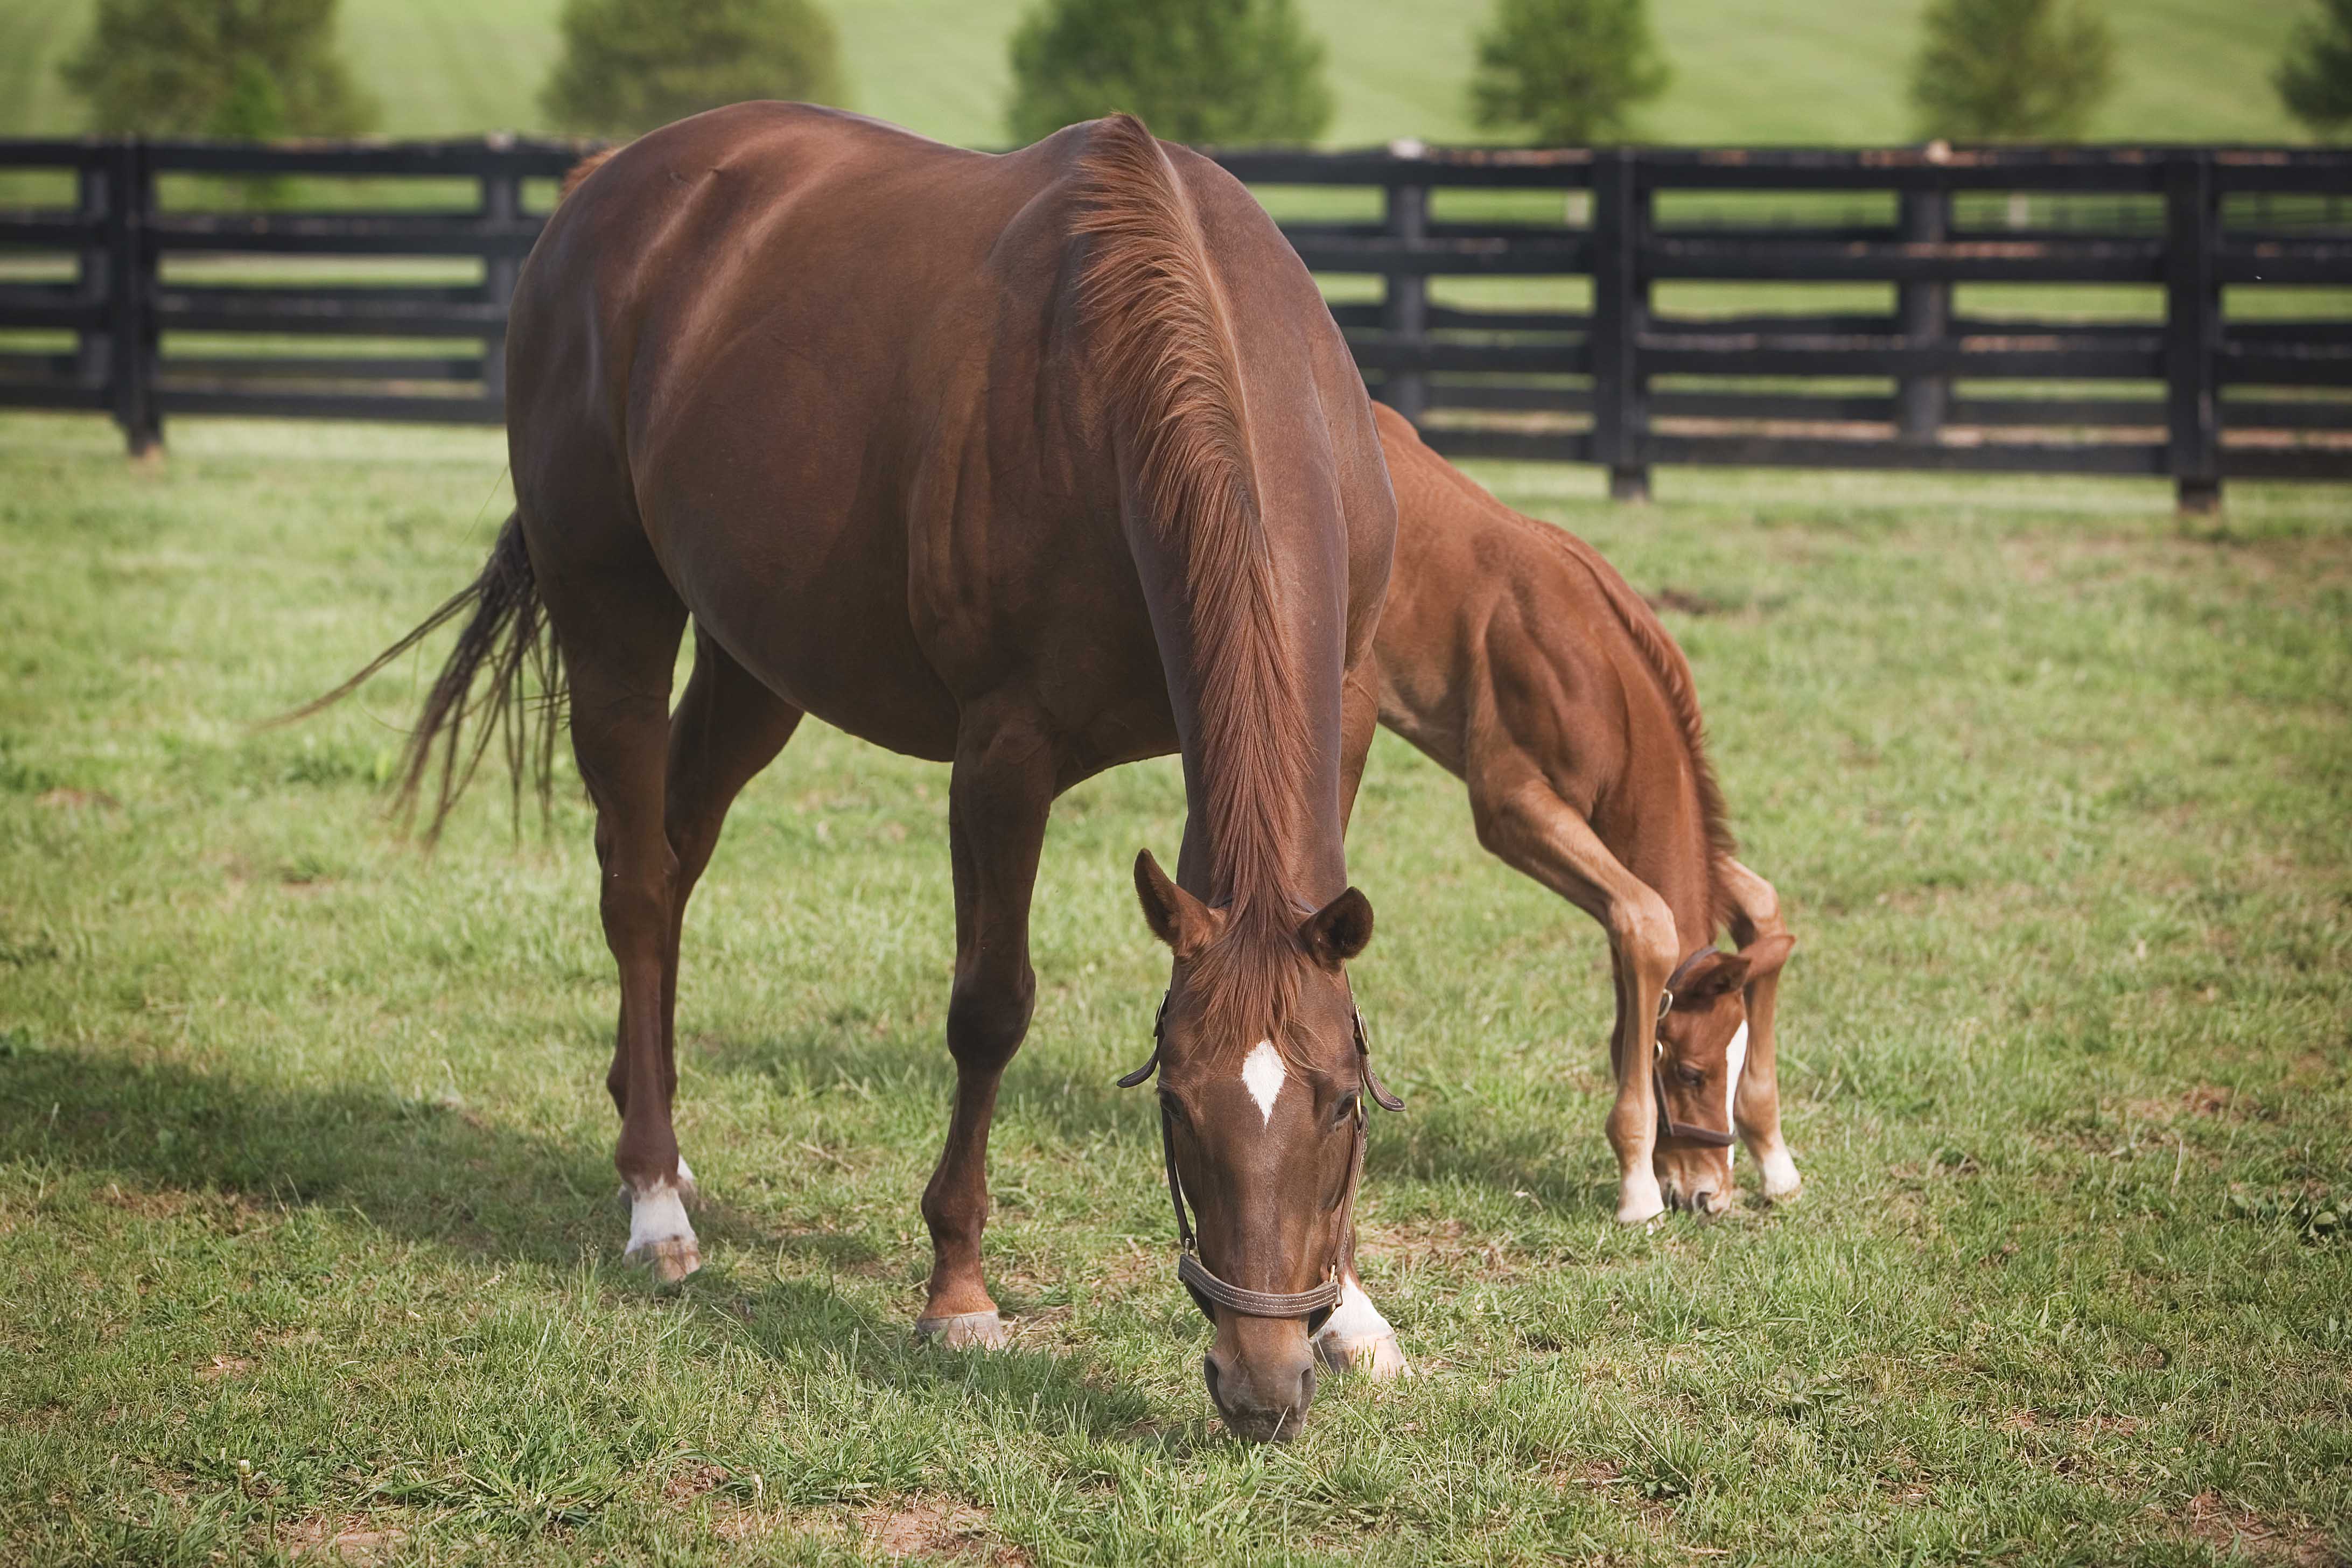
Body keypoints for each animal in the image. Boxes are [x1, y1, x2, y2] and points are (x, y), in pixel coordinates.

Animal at [324, 104, 1402, 1438]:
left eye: (1341, 1104)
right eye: (1175, 1109)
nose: (1260, 1387)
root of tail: (604, 185)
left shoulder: (1337, 715)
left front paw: (1354, 1310)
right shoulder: (1002, 753)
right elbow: (990, 1009)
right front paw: (959, 1294)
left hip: (756, 663)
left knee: (673, 859)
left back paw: (652, 1134)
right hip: (611, 607)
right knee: (637, 883)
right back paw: (654, 1203)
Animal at [1364, 404, 1797, 1241]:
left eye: (1729, 1070)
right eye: (1689, 1070)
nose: (1710, 1194)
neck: (1598, 667)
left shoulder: (1606, 825)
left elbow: (1758, 908)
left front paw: (1776, 1159)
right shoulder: (1511, 807)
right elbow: (1647, 922)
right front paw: (1636, 1186)